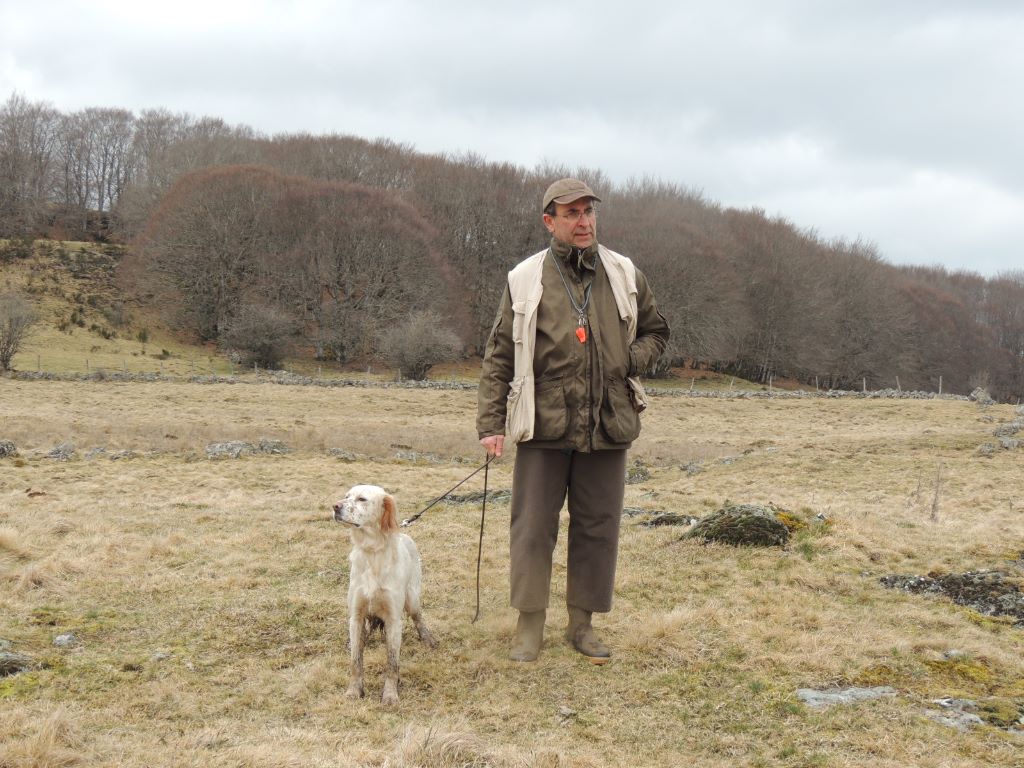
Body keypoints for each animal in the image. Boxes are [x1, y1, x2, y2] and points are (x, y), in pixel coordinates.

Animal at [333, 483, 434, 708]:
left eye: (362, 499)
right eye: (346, 496)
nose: (335, 506)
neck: (373, 552)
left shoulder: (394, 619)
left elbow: (392, 663)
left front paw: (390, 694)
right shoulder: (356, 615)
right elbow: (355, 660)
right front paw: (354, 691)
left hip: (412, 599)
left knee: (418, 618)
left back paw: (428, 639)